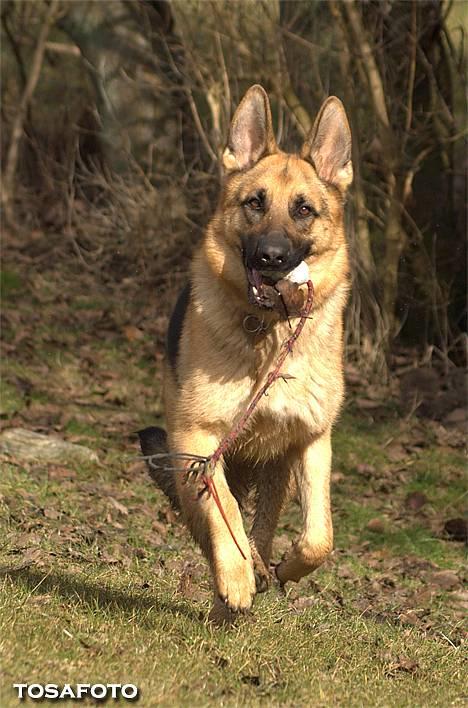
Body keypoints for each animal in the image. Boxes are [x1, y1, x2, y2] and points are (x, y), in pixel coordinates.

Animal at [139, 85, 352, 624]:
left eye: (303, 210)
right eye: (255, 203)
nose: (271, 258)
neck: (269, 334)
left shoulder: (313, 441)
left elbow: (319, 535)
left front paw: (287, 567)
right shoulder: (199, 441)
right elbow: (226, 514)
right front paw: (234, 580)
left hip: (278, 471)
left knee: (266, 523)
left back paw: (260, 564)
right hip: (188, 458)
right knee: (210, 517)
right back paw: (232, 586)